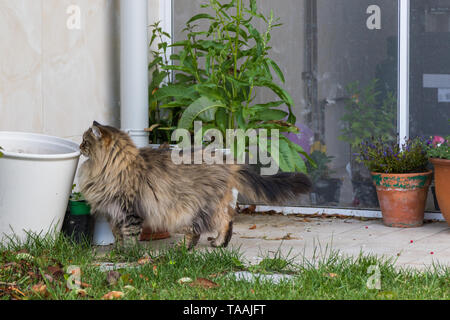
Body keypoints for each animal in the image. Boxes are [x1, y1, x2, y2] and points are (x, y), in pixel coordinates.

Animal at [79, 121, 312, 249]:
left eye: (85, 140)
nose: (79, 146)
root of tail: (228, 161)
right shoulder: (113, 212)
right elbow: (117, 234)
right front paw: (118, 249)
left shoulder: (129, 212)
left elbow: (129, 235)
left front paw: (128, 254)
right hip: (217, 202)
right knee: (227, 220)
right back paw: (219, 243)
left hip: (191, 208)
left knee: (201, 229)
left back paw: (184, 249)